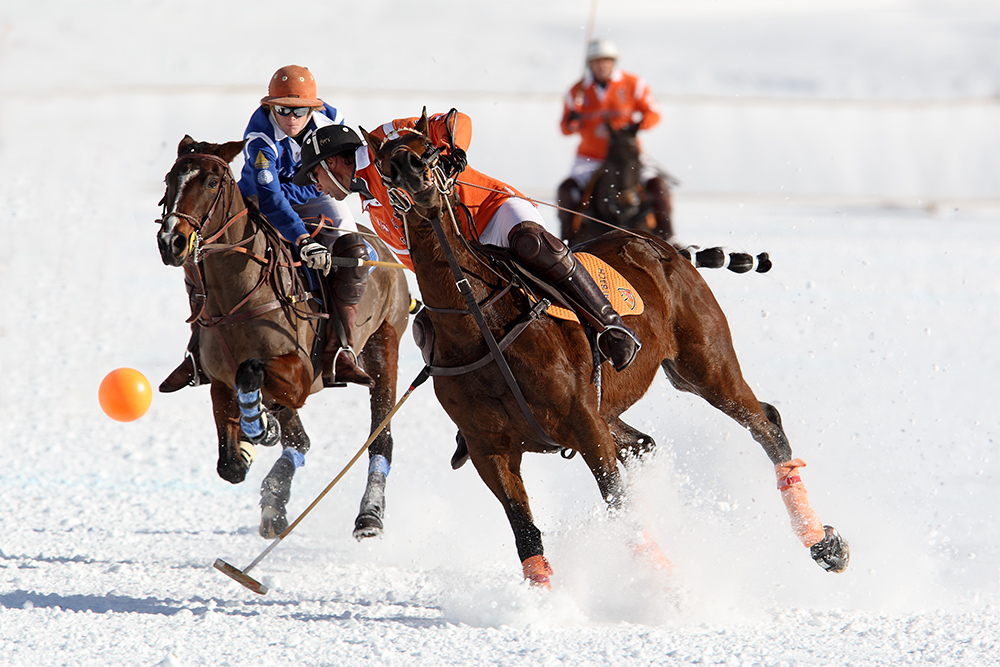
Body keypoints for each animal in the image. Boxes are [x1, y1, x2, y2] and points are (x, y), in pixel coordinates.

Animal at [153, 136, 410, 544]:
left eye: (211, 182)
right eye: (168, 180)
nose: (171, 241)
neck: (237, 298)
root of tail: (384, 249)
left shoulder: (301, 375)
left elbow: (250, 370)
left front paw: (257, 428)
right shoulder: (219, 383)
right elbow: (230, 465)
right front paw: (252, 439)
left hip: (384, 346)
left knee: (380, 438)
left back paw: (369, 517)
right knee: (299, 441)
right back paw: (274, 502)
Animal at [364, 111, 848, 588]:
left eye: (431, 149)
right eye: (386, 164)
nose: (413, 171)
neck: (479, 322)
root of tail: (665, 247)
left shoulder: (584, 423)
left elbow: (618, 505)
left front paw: (660, 584)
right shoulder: (490, 448)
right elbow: (526, 532)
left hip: (703, 364)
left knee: (764, 422)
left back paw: (823, 543)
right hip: (618, 404)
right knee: (647, 445)